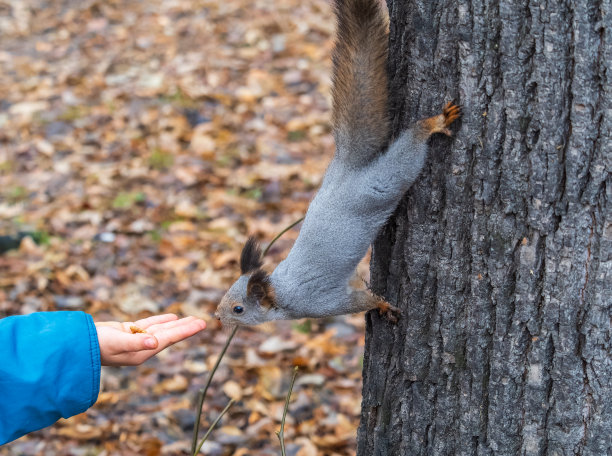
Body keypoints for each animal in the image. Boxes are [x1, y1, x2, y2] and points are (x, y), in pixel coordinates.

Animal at [215, 0, 460, 328]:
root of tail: (346, 166)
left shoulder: (319, 302)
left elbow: (359, 300)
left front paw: (381, 304)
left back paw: (431, 124)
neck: (281, 292)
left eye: (238, 309)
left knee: (410, 148)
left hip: (387, 179)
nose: (216, 315)